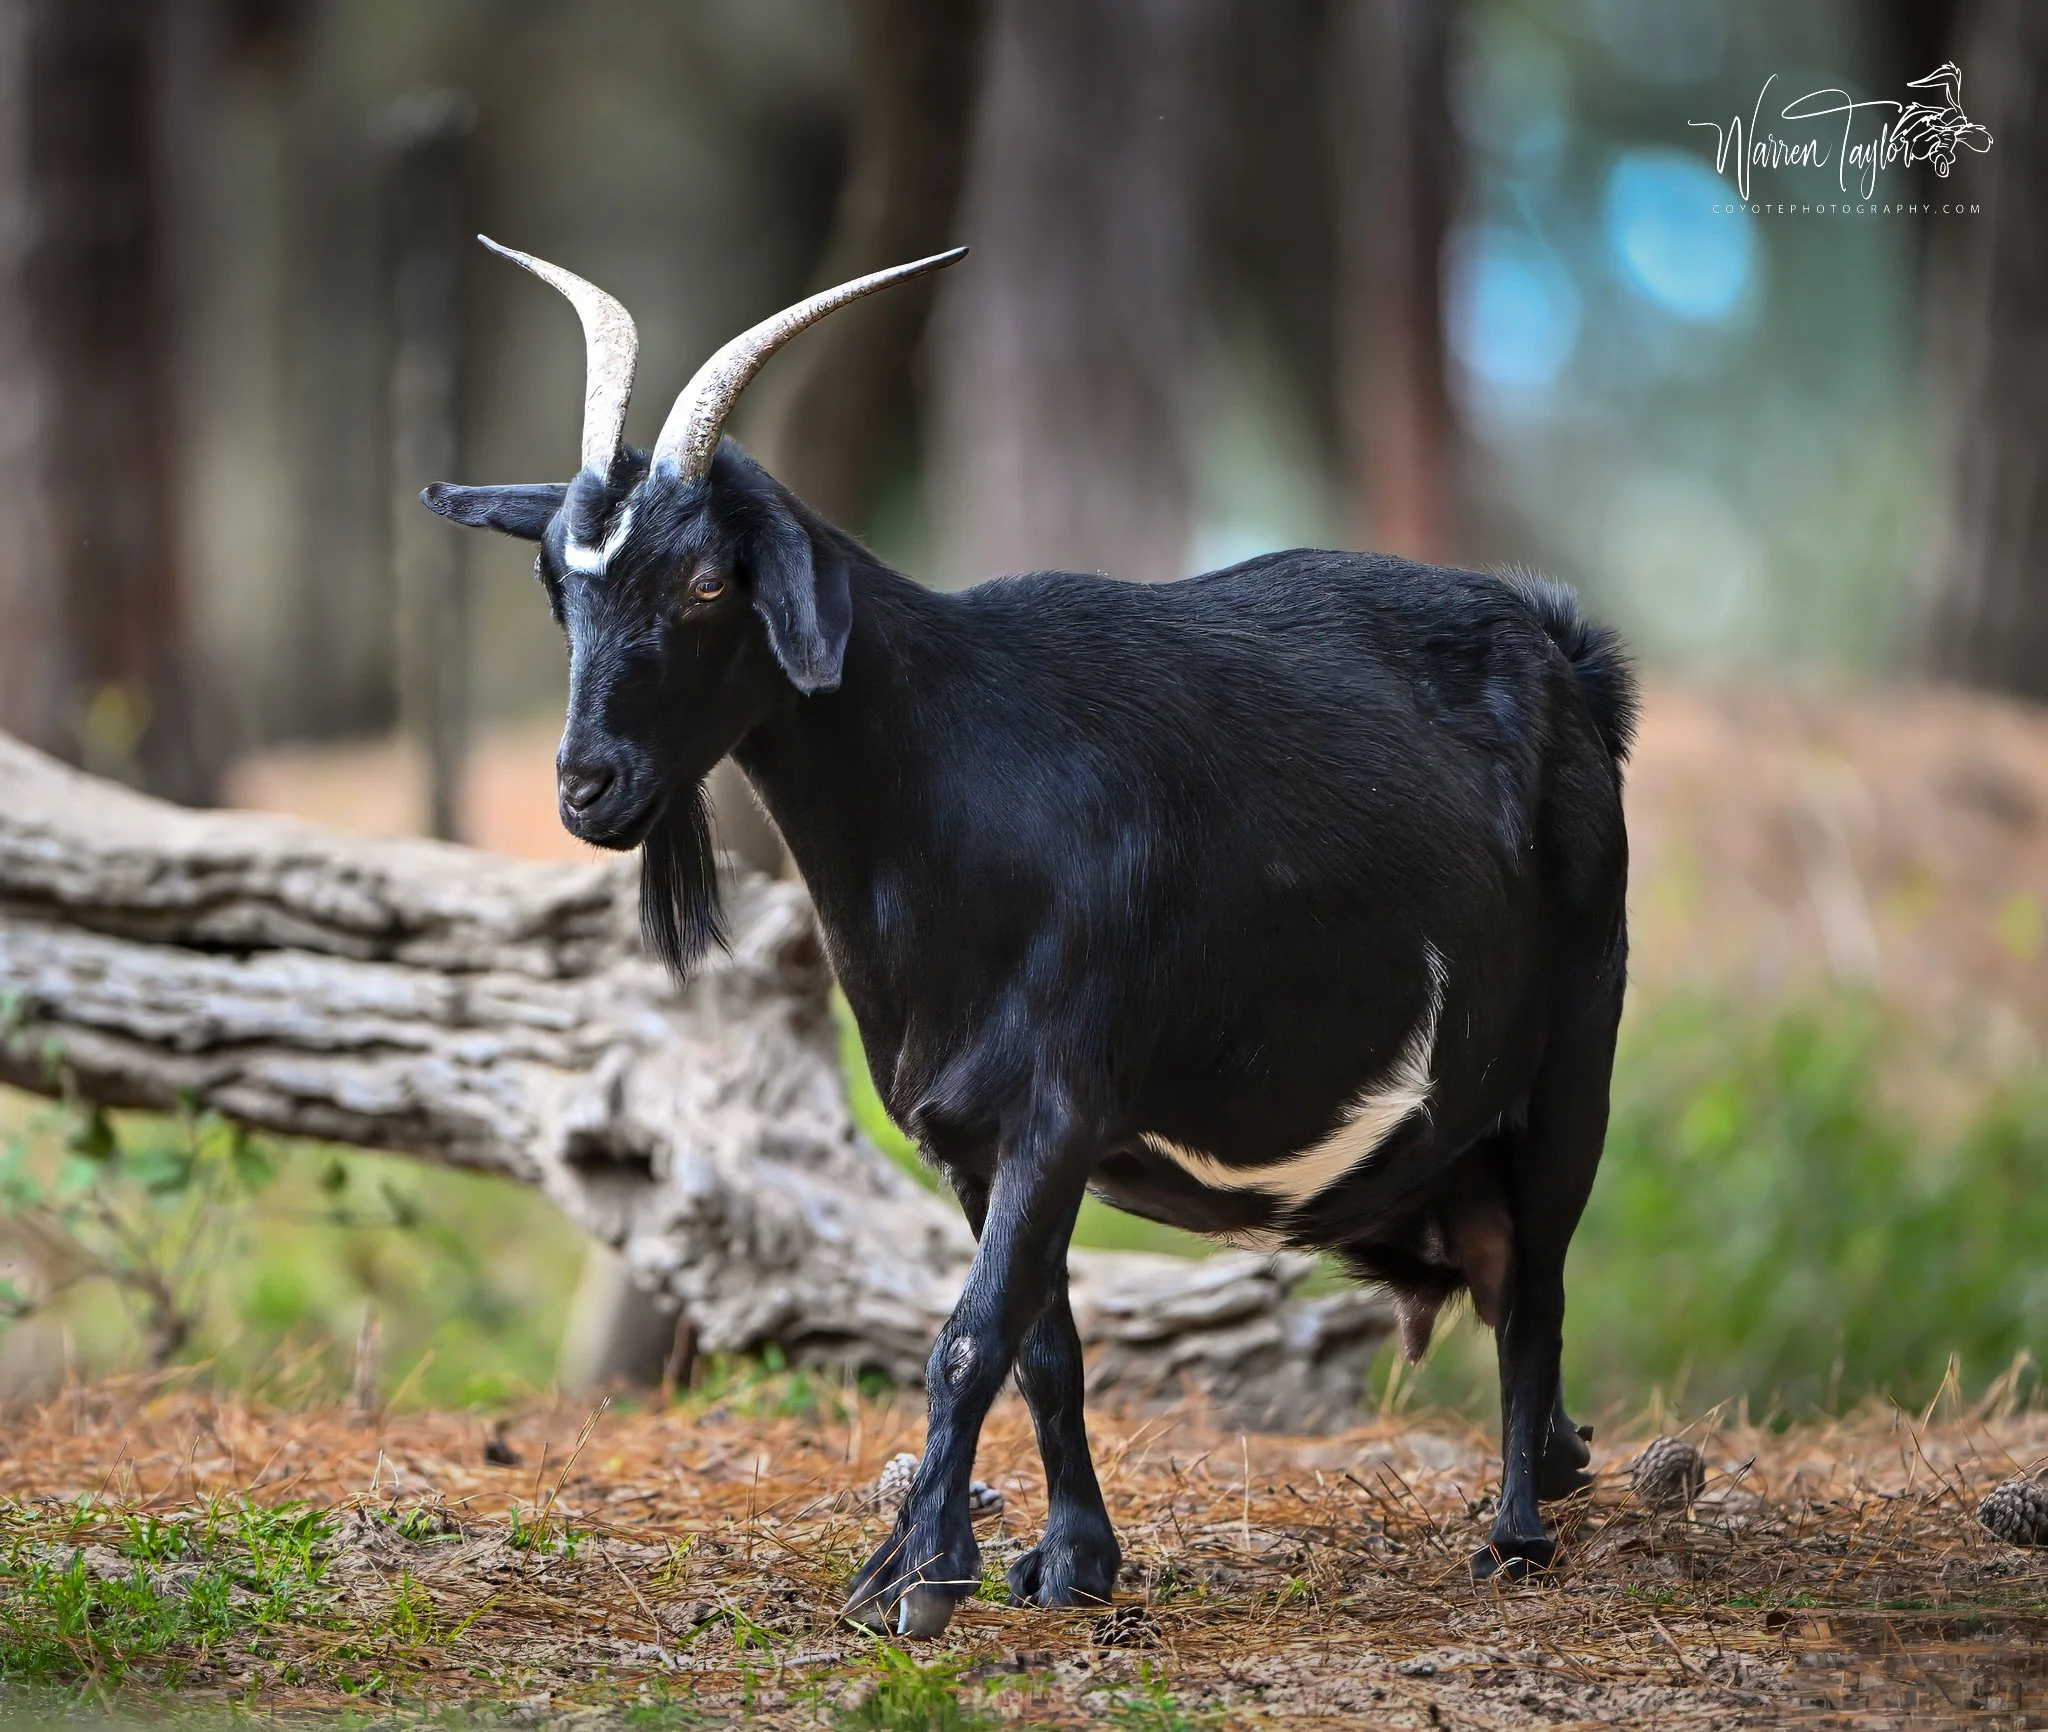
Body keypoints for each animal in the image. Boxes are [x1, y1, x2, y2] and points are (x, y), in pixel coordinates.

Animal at [424, 240, 1636, 1636]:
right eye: (557, 583)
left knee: (1538, 1283)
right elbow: (1042, 1344)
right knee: (1506, 1278)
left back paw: (1515, 1533)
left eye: (708, 579)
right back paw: (1557, 1465)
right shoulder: (968, 1134)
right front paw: (1065, 1561)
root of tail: (1570, 656)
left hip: (1574, 1057)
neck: (956, 778)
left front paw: (914, 1580)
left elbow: (968, 1337)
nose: (590, 786)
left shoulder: (1060, 1101)